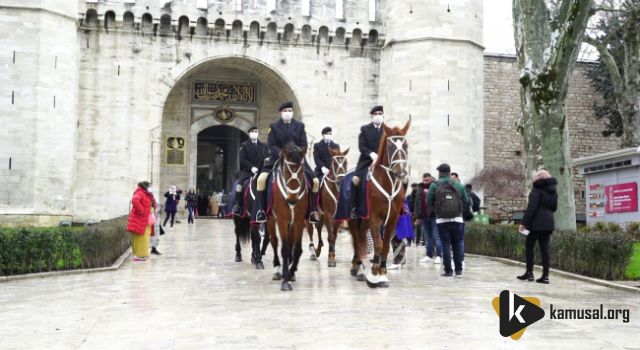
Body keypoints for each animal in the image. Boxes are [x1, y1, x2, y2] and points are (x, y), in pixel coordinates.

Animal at [264, 141, 310, 292]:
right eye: (286, 171)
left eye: (301, 171)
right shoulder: (282, 221)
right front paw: (285, 280)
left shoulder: (300, 221)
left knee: (290, 243)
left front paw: (291, 272)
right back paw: (277, 269)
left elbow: (297, 249)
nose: (292, 200)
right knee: (274, 241)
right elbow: (283, 249)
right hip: (271, 220)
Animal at [350, 119, 410, 288]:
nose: (401, 173)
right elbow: (378, 243)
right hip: (355, 219)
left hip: (364, 221)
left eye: (406, 146)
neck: (388, 183)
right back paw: (359, 268)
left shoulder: (392, 218)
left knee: (361, 238)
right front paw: (374, 274)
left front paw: (382, 272)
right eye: (389, 147)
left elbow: (385, 245)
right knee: (357, 240)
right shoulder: (374, 217)